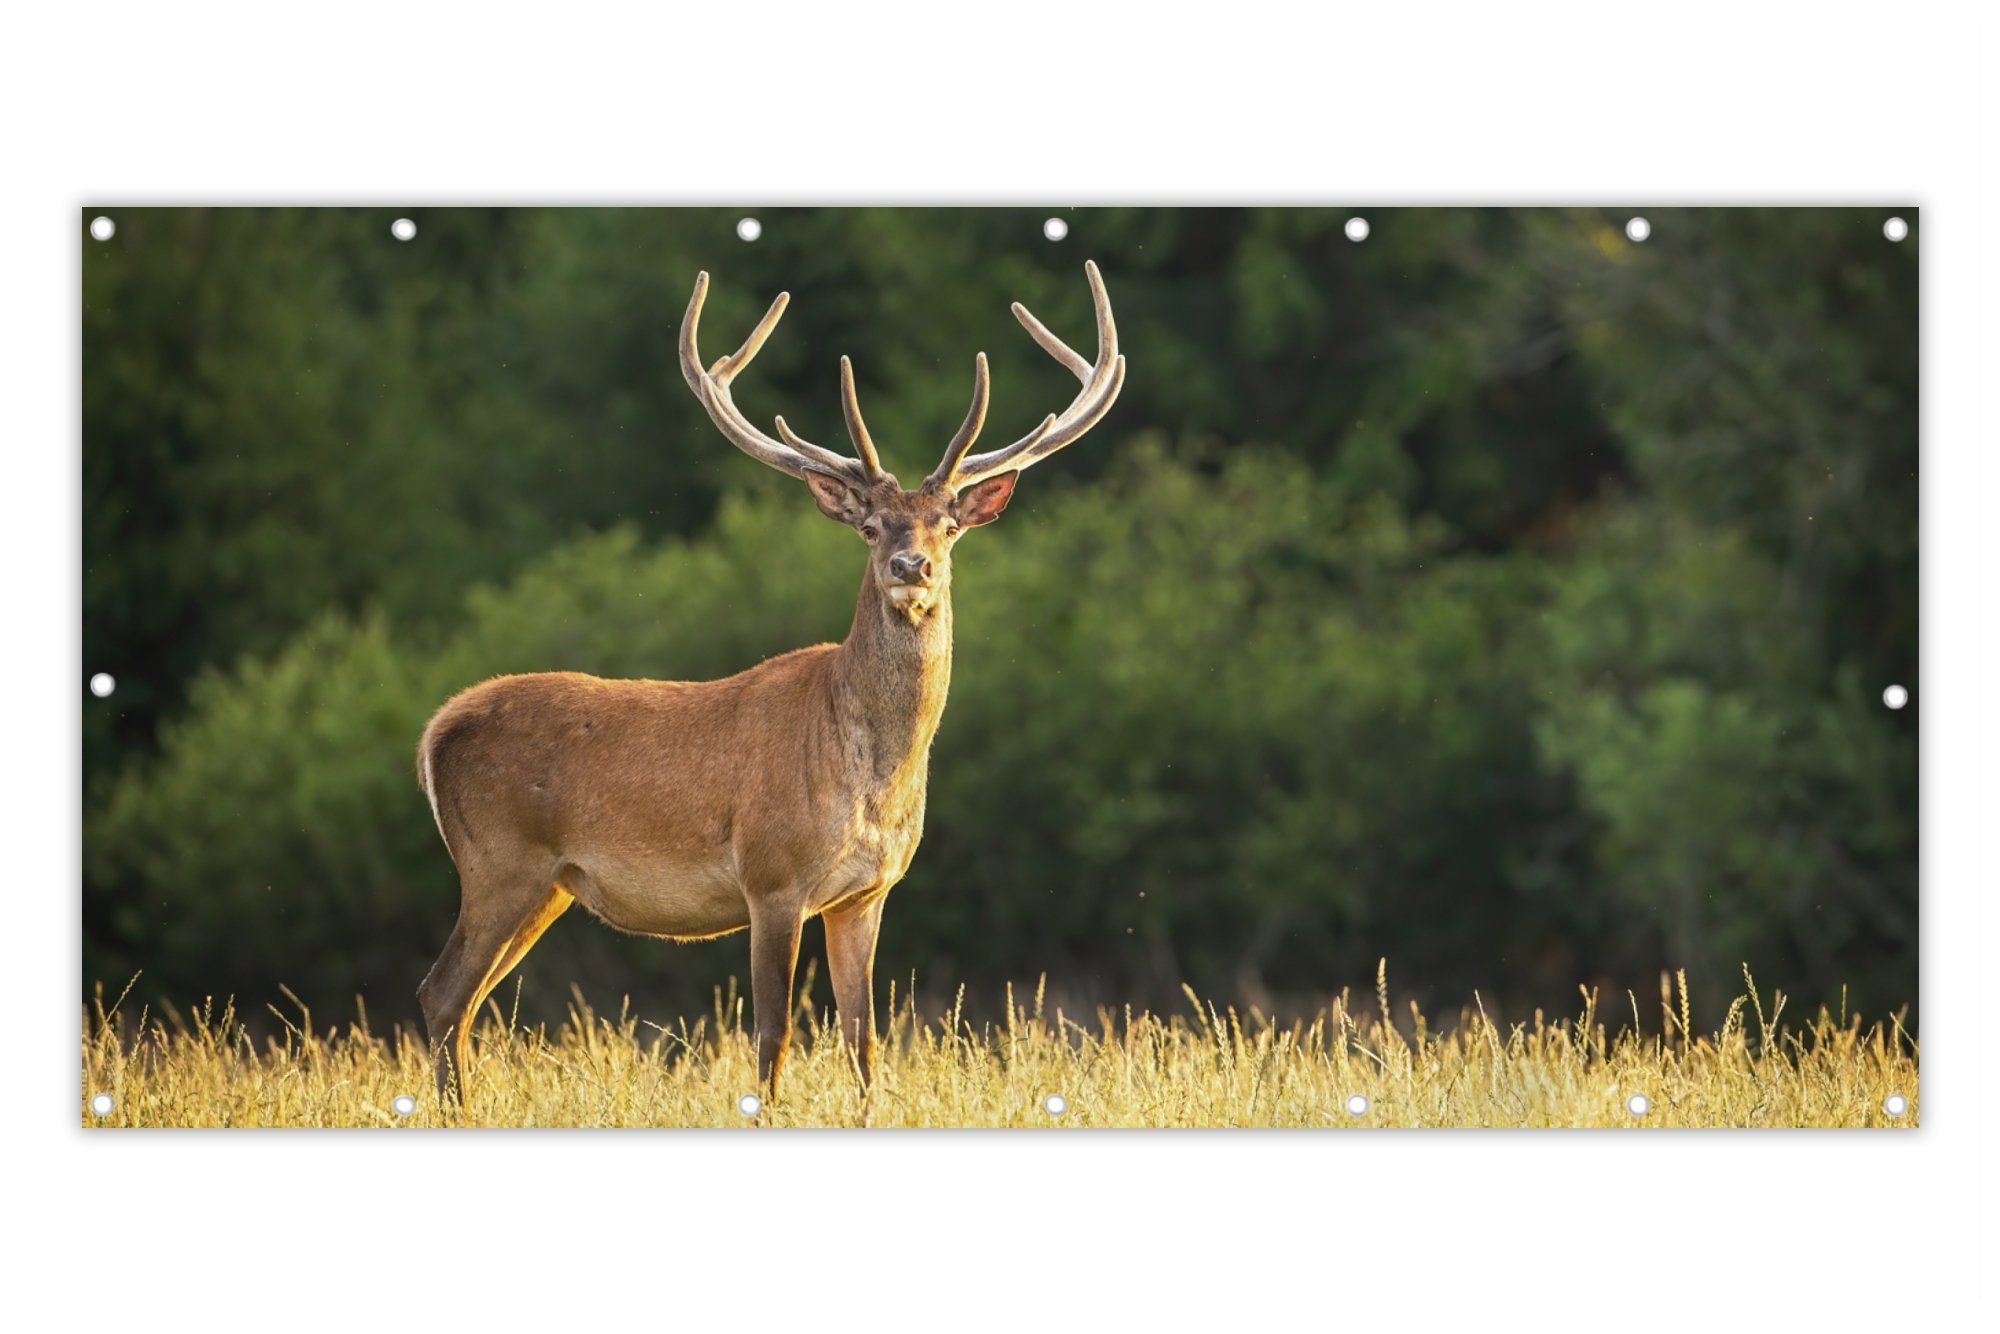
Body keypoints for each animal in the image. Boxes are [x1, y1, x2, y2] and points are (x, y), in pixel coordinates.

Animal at [414, 261, 1126, 1105]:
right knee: (441, 992)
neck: (870, 778)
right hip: (499, 861)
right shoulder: (771, 876)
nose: (911, 566)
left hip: (547, 884)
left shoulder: (867, 893)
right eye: (871, 525)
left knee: (461, 1000)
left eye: (948, 524)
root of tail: (434, 733)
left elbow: (863, 1041)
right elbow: (773, 1037)